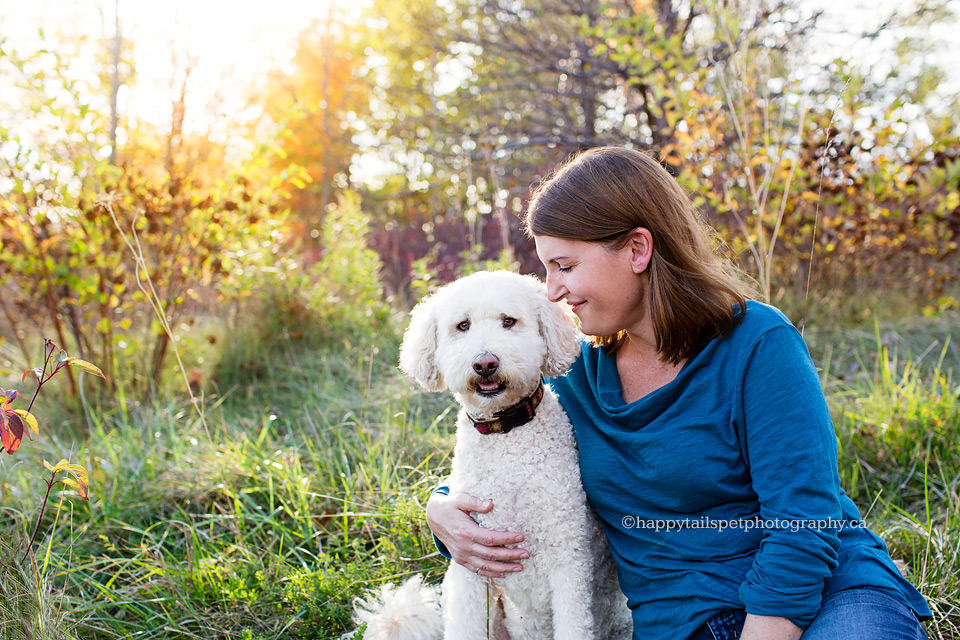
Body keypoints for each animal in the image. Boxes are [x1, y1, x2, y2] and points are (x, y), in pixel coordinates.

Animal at [356, 270, 632, 640]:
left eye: (508, 321)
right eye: (462, 326)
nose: (485, 363)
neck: (506, 437)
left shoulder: (569, 560)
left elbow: (574, 622)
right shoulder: (469, 570)